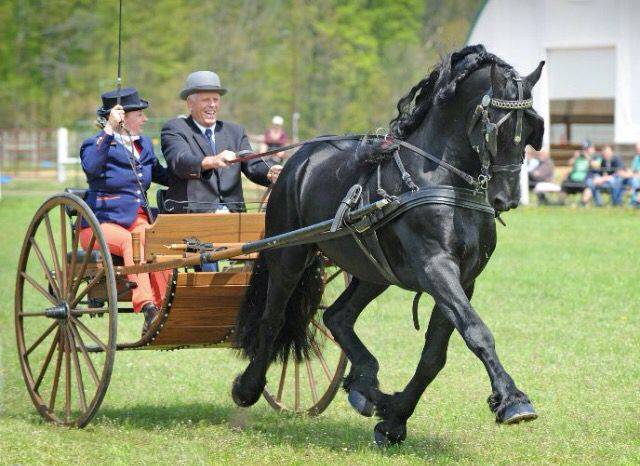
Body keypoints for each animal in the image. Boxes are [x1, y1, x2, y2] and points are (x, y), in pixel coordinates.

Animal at [235, 45, 544, 446]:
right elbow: (477, 332)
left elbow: (434, 356)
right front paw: (512, 399)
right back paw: (248, 387)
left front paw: (394, 418)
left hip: (373, 271)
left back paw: (366, 384)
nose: (506, 198)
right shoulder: (436, 268)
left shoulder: (464, 278)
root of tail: (297, 161)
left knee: (337, 316)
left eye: (532, 129)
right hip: (290, 255)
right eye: (495, 127)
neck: (441, 179)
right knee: (273, 318)